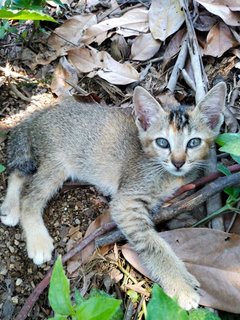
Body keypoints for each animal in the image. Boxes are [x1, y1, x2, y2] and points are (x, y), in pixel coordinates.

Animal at [0, 82, 226, 310]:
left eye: (193, 142)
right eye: (163, 143)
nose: (178, 162)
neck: (165, 173)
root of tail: (40, 113)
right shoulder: (126, 202)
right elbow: (152, 243)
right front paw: (180, 285)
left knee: (19, 172)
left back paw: (10, 209)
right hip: (56, 163)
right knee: (28, 196)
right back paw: (37, 239)